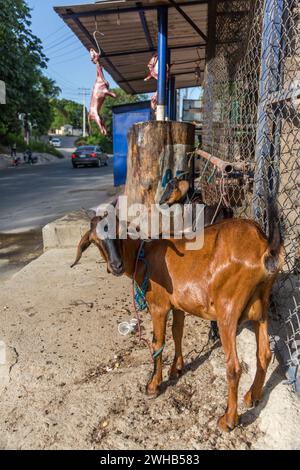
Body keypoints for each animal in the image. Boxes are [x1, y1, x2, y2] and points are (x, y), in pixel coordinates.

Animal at [71, 200, 282, 432]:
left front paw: (153, 385)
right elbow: (177, 332)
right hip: (261, 308)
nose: (116, 266)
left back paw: (228, 420)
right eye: (95, 241)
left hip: (227, 311)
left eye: (119, 232)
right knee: (264, 354)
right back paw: (252, 396)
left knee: (233, 367)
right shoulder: (179, 304)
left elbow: (158, 342)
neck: (142, 254)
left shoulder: (158, 305)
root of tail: (263, 247)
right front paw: (177, 369)